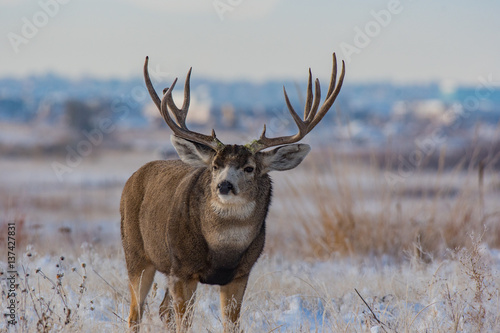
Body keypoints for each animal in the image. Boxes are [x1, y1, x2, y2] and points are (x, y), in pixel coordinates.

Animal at [121, 53, 346, 330]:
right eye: (215, 166)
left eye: (250, 168)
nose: (224, 185)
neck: (223, 249)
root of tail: (135, 174)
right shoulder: (182, 270)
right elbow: (184, 322)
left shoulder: (241, 274)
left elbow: (232, 323)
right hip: (135, 253)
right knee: (136, 312)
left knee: (162, 310)